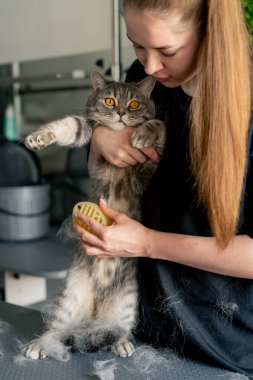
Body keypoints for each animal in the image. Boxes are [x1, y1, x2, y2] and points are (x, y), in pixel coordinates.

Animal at [21, 70, 166, 362]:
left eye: (134, 104)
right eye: (110, 101)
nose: (121, 112)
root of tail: (93, 316)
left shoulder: (148, 168)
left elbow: (160, 126)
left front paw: (144, 133)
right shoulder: (86, 127)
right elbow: (67, 124)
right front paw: (38, 137)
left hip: (127, 305)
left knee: (116, 330)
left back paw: (121, 343)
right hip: (68, 300)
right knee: (56, 330)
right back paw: (40, 344)